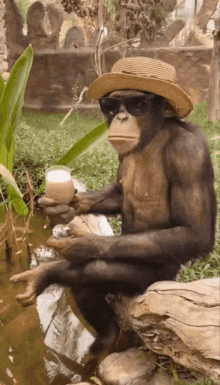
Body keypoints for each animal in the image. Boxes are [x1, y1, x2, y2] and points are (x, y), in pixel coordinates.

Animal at [10, 57, 217, 378]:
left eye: (136, 104)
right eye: (110, 105)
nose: (120, 116)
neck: (152, 136)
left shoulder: (189, 151)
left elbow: (195, 231)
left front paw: (79, 247)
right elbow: (118, 193)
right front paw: (63, 208)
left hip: (158, 275)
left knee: (95, 270)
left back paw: (51, 273)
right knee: (86, 281)